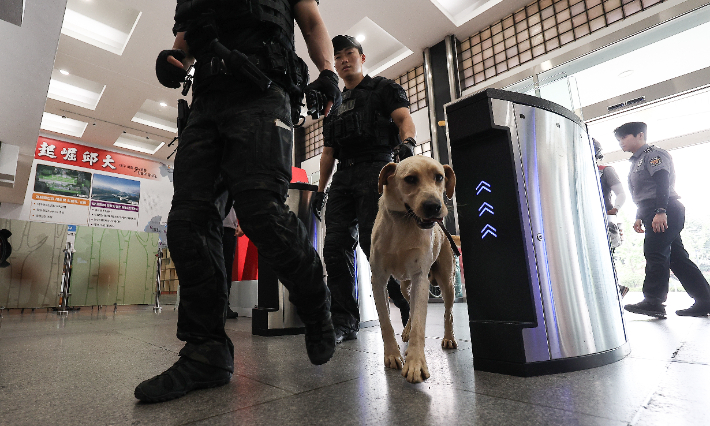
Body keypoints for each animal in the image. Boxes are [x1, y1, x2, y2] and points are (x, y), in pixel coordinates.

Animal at [370, 156, 458, 382]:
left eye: (439, 177)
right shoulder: (378, 280)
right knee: (408, 306)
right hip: (403, 286)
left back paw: (448, 338)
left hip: (447, 284)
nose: (434, 206)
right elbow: (385, 321)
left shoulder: (420, 278)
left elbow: (420, 321)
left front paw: (415, 363)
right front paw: (392, 354)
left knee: (448, 313)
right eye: (410, 179)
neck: (403, 224)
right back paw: (406, 333)